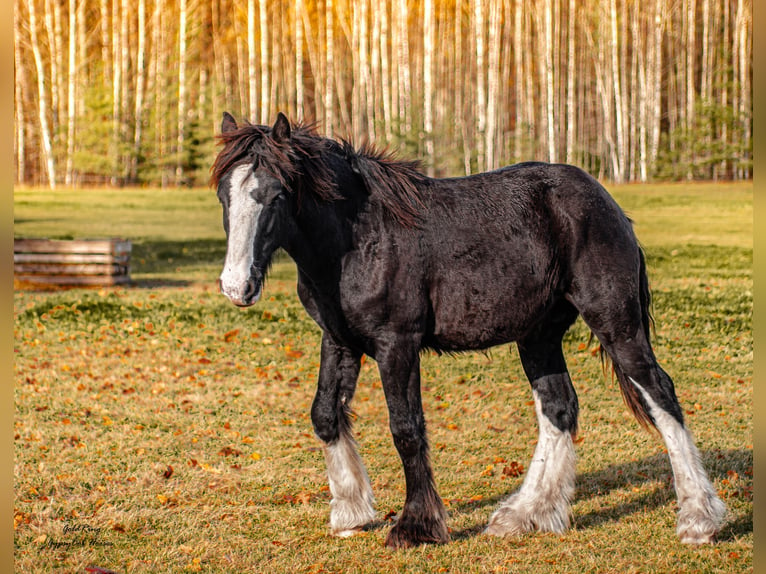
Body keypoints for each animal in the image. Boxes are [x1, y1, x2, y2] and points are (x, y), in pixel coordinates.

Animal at [212, 111, 728, 548]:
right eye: (224, 195)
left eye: (277, 194)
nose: (238, 286)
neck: (358, 239)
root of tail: (606, 202)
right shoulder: (339, 341)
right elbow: (324, 415)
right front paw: (350, 512)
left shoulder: (396, 344)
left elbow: (406, 428)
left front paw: (416, 526)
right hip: (538, 335)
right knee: (559, 408)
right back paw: (526, 515)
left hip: (616, 322)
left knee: (661, 394)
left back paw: (698, 520)